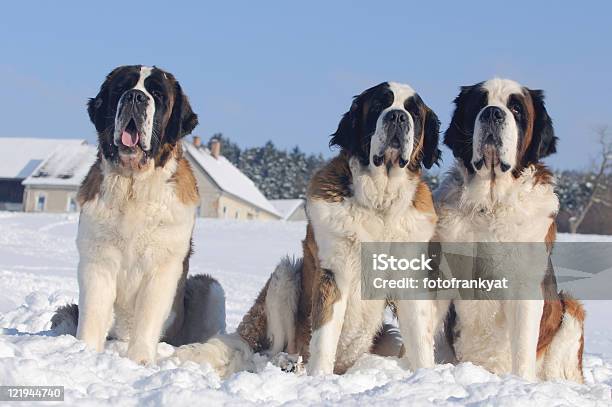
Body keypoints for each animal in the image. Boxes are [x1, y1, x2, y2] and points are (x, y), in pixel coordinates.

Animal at [50, 65, 226, 364]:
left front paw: (140, 361)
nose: (135, 97)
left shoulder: (162, 268)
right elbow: (93, 314)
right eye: (121, 88)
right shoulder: (97, 261)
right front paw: (85, 354)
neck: (133, 185)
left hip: (210, 288)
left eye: (157, 93)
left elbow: (148, 316)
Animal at [175, 81, 448, 378]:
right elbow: (324, 337)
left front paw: (426, 374)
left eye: (414, 113)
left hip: (385, 335)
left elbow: (420, 339)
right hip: (285, 277)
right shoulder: (334, 273)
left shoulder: (409, 275)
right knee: (265, 351)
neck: (380, 202)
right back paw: (288, 364)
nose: (397, 116)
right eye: (379, 105)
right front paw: (319, 378)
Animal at [432, 78, 584, 384]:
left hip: (571, 310)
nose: (492, 113)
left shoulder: (525, 289)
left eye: (516, 109)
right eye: (480, 104)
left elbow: (523, 347)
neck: (491, 205)